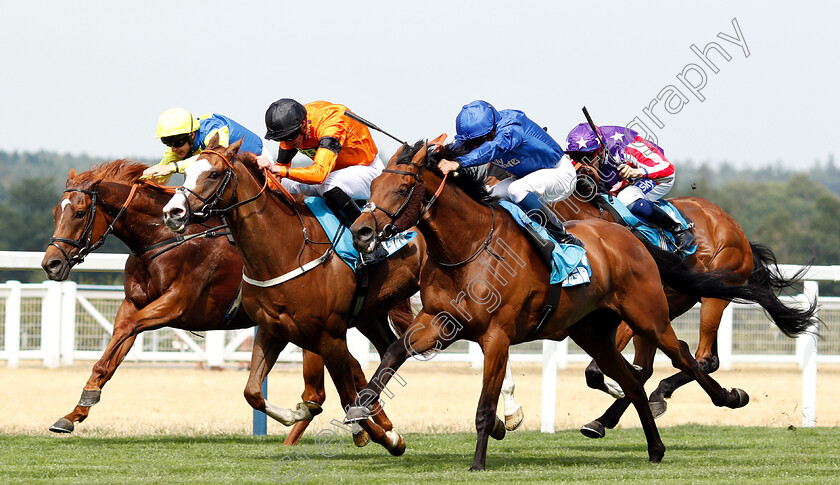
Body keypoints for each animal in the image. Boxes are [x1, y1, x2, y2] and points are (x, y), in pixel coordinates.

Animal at [42, 161, 410, 444]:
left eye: (79, 213)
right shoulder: (133, 304)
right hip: (358, 317)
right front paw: (75, 411)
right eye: (55, 212)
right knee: (359, 365)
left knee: (337, 375)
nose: (51, 264)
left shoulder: (177, 305)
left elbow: (128, 330)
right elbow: (113, 351)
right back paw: (374, 424)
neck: (161, 239)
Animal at [162, 135, 426, 454]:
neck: (285, 249)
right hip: (369, 315)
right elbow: (252, 391)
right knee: (390, 347)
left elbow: (348, 400)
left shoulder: (330, 335)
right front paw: (296, 412)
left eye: (213, 174)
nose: (172, 212)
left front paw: (388, 439)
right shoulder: (272, 328)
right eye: (186, 172)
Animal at [344, 139, 752, 468]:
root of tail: (631, 238)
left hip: (648, 316)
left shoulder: (497, 336)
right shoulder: (437, 321)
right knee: (633, 380)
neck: (468, 247)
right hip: (593, 333)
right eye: (373, 186)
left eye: (401, 188)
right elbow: (394, 351)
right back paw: (653, 448)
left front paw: (478, 462)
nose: (361, 232)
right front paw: (361, 407)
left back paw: (729, 397)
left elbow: (484, 406)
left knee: (683, 355)